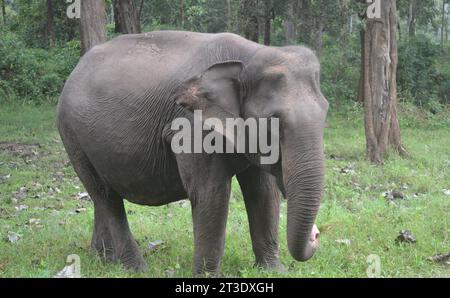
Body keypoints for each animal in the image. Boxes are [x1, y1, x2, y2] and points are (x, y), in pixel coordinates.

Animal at [58, 30, 328, 274]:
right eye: (274, 120)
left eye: (326, 112)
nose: (316, 235)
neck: (251, 54)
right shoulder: (191, 125)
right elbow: (211, 193)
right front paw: (207, 276)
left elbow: (263, 191)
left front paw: (273, 271)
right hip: (72, 136)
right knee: (106, 197)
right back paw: (135, 268)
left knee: (101, 197)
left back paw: (105, 259)